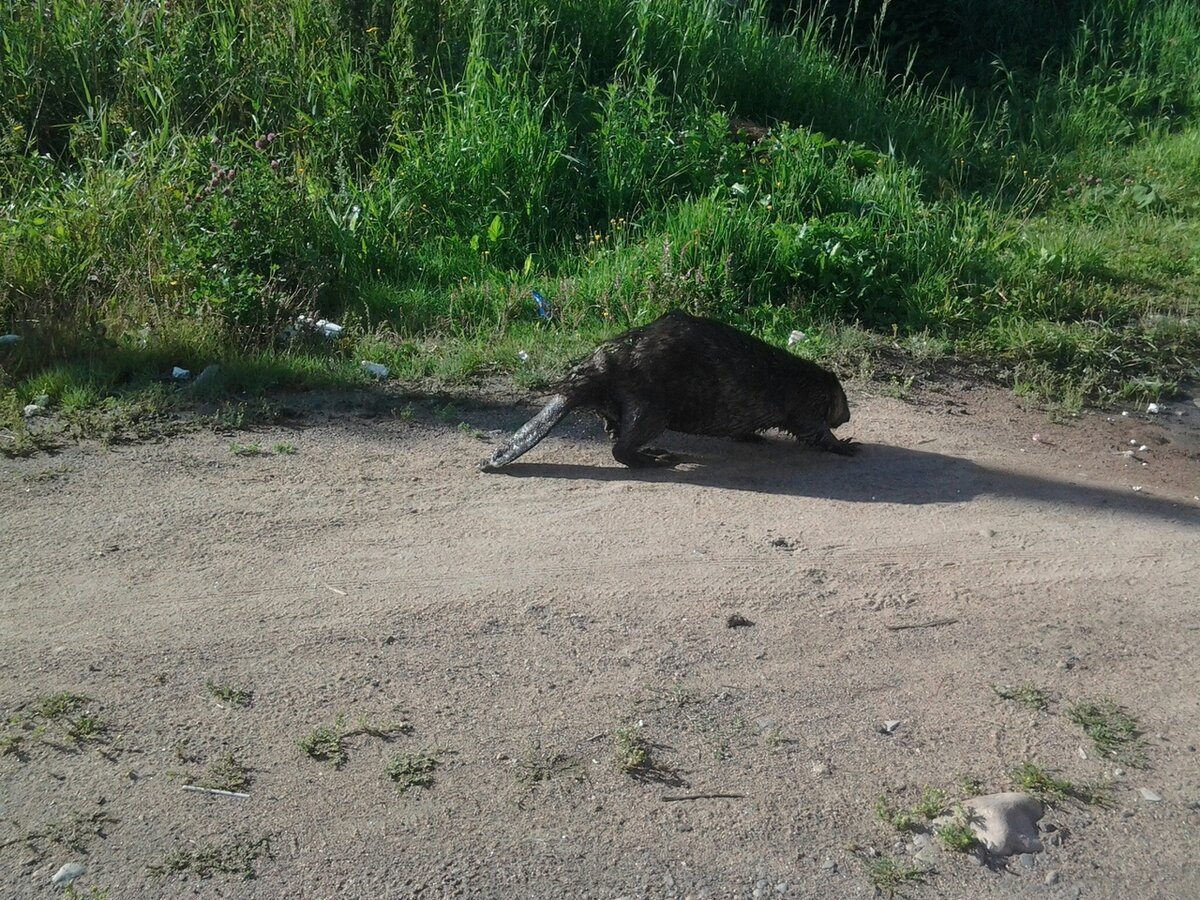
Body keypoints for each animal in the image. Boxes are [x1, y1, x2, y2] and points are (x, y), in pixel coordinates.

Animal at [477, 312, 854, 472]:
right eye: (844, 401)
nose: (849, 416)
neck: (804, 377)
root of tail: (575, 385)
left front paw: (753, 437)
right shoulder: (805, 403)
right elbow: (813, 431)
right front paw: (849, 445)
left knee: (614, 429)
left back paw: (652, 450)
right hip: (653, 407)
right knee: (620, 449)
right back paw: (656, 460)